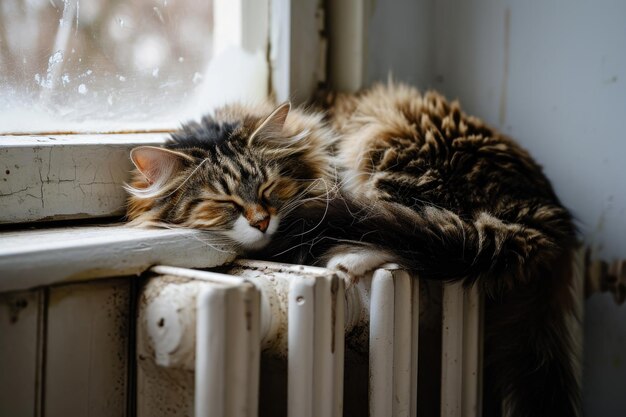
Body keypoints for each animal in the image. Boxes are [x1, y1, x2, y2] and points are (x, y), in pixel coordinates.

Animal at [127, 82, 580, 416]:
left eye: (269, 188)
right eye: (224, 202)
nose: (261, 221)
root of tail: (544, 212)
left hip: (385, 145)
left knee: (413, 229)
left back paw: (345, 257)